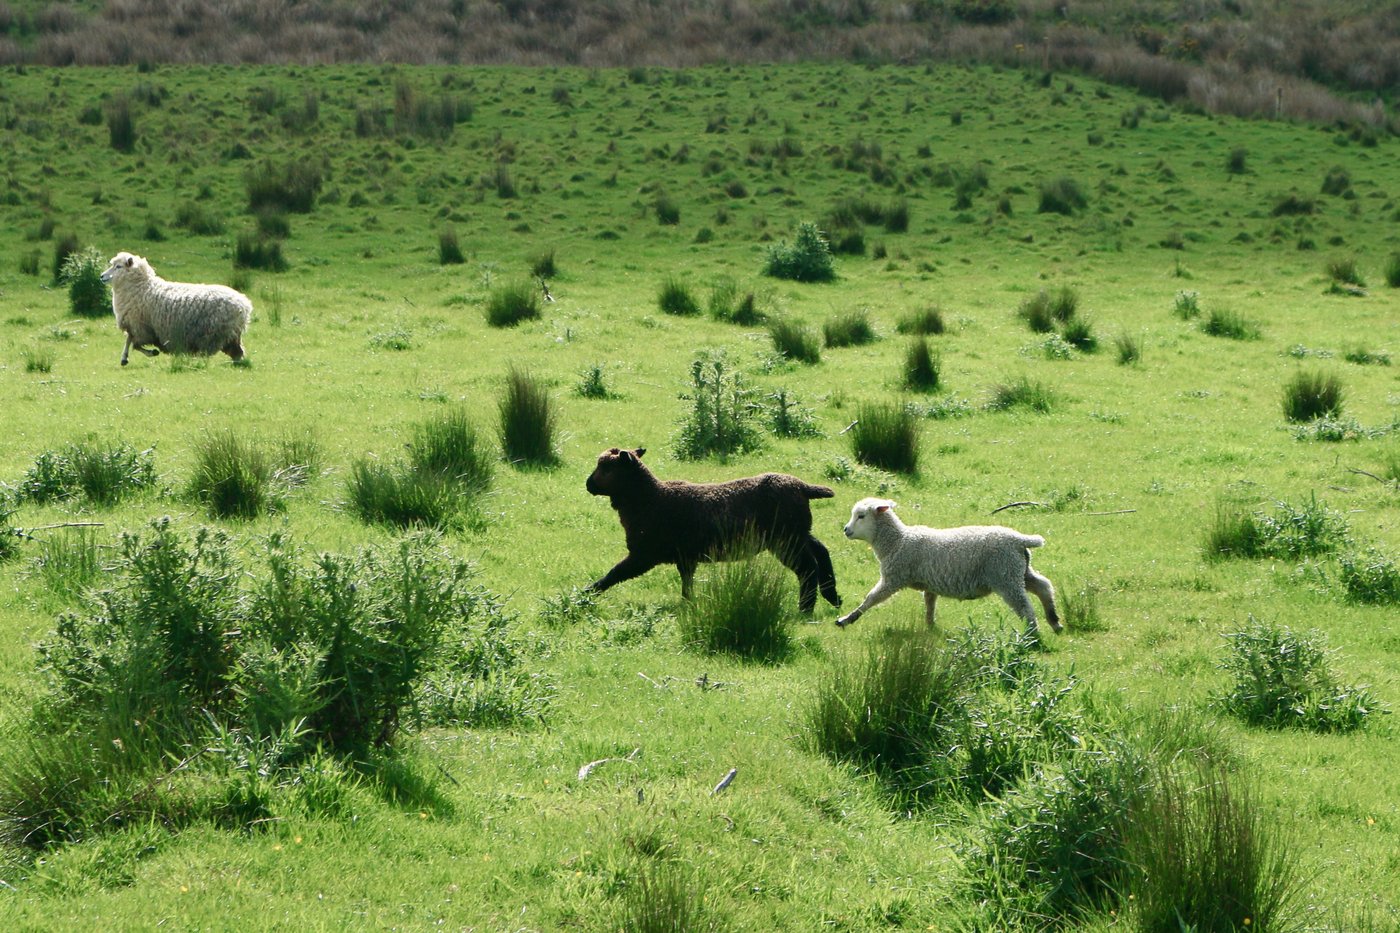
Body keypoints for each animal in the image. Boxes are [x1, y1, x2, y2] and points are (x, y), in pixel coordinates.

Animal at [100, 250, 252, 367]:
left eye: (118, 266)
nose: (102, 276)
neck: (141, 287)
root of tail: (244, 304)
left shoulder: (140, 326)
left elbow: (134, 344)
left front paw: (151, 352)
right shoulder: (136, 326)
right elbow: (129, 341)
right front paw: (124, 358)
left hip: (216, 333)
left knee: (221, 351)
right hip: (232, 335)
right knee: (238, 352)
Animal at [582, 442, 834, 610]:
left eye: (606, 468)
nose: (588, 484)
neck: (650, 498)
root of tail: (803, 487)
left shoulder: (644, 554)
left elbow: (615, 573)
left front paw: (586, 593)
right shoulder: (685, 556)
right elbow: (687, 581)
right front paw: (688, 604)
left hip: (785, 538)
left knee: (808, 567)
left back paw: (806, 609)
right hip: (798, 531)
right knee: (821, 551)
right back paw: (832, 595)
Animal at [828, 498, 1058, 636]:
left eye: (861, 516)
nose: (846, 530)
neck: (897, 541)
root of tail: (1019, 539)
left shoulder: (894, 577)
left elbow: (871, 599)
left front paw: (847, 619)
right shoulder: (929, 584)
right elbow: (930, 605)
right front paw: (930, 627)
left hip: (1005, 575)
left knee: (1025, 606)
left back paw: (1032, 635)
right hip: (1019, 570)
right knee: (1044, 586)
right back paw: (1054, 621)